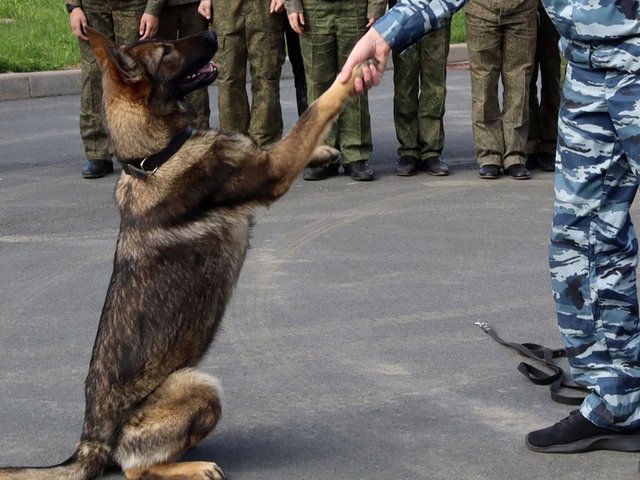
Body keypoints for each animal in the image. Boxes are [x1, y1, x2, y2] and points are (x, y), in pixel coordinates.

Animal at [0, 27, 364, 480]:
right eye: (167, 50)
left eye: (161, 39)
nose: (211, 31)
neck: (154, 157)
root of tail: (90, 441)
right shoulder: (273, 172)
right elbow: (313, 111)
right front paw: (357, 69)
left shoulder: (265, 160)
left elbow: (283, 136)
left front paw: (325, 152)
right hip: (199, 386)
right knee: (135, 468)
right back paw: (193, 466)